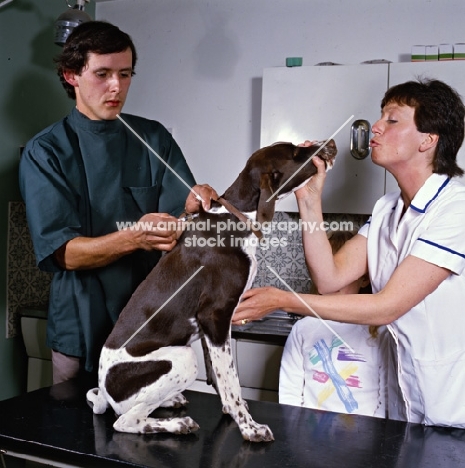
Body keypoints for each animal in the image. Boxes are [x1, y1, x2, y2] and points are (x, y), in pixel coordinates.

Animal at [85, 140, 336, 442]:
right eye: (296, 153)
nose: (332, 144)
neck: (237, 218)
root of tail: (105, 393)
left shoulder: (211, 326)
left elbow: (220, 379)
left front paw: (233, 413)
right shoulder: (215, 316)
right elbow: (231, 382)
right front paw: (249, 428)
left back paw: (170, 401)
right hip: (182, 358)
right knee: (126, 421)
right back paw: (176, 424)